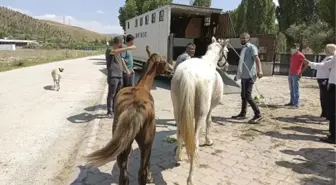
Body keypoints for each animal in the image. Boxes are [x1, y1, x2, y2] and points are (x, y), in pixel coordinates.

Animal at [85, 46, 173, 185]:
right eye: (163, 61)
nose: (171, 69)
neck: (142, 87)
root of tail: (135, 108)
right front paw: (151, 177)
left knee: (123, 172)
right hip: (147, 139)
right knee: (141, 171)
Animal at [171, 36, 228, 185]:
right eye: (227, 51)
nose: (227, 66)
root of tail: (189, 74)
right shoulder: (209, 108)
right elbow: (209, 122)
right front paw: (208, 140)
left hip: (177, 111)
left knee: (179, 134)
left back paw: (178, 157)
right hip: (201, 113)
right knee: (195, 144)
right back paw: (190, 178)